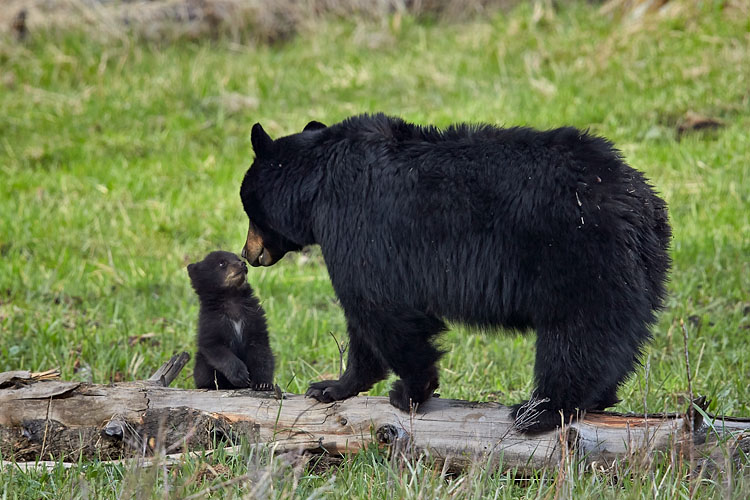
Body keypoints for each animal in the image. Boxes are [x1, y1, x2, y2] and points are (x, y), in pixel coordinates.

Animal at [188, 250, 276, 390]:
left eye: (237, 258)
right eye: (222, 263)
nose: (243, 264)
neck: (232, 297)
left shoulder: (254, 317)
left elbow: (261, 351)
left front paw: (263, 383)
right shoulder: (212, 322)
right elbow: (216, 348)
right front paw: (241, 376)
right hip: (201, 362)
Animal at [239, 111, 668, 432]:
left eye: (248, 209)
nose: (247, 253)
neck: (319, 182)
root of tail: (639, 203)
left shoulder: (358, 226)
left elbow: (380, 307)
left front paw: (410, 391)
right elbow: (368, 319)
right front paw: (332, 387)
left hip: (579, 257)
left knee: (578, 334)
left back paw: (539, 411)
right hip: (643, 269)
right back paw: (599, 397)